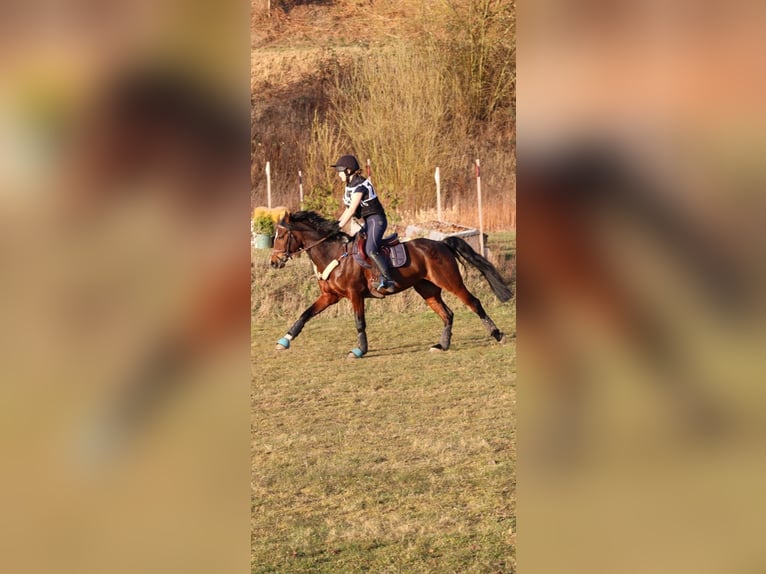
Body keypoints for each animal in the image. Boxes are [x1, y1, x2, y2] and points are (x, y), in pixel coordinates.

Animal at [269, 211, 513, 358]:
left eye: (280, 236)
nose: (273, 262)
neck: (333, 253)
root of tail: (441, 243)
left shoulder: (354, 294)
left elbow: (359, 322)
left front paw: (360, 350)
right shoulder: (329, 297)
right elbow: (305, 314)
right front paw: (285, 340)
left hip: (450, 281)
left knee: (473, 303)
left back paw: (498, 335)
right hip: (427, 289)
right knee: (447, 314)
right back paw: (442, 345)